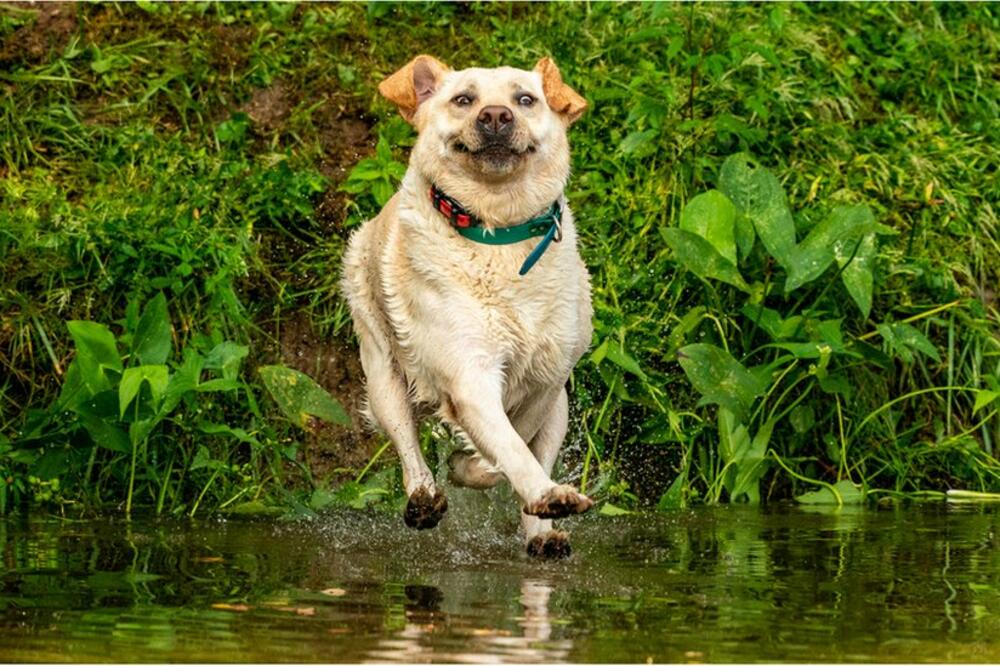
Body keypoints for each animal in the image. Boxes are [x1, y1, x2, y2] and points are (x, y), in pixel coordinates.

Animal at [344, 55, 592, 556]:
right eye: (463, 99)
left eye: (525, 99)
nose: (495, 116)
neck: (499, 233)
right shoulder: (468, 375)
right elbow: (506, 448)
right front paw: (479, 470)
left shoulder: (548, 381)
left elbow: (518, 445)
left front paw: (534, 497)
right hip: (382, 374)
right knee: (408, 445)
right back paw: (424, 498)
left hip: (560, 409)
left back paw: (543, 535)